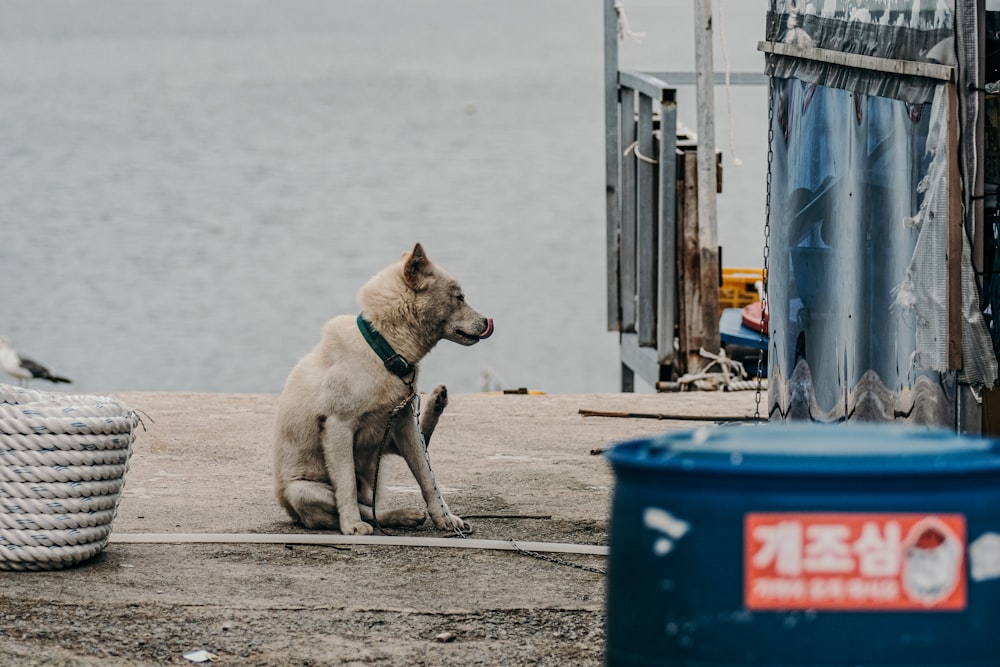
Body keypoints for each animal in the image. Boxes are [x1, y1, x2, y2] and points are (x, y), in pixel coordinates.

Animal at [274, 243, 492, 536]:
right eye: (459, 298)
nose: (486, 322)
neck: (385, 350)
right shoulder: (338, 426)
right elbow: (345, 485)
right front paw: (352, 525)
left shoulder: (406, 425)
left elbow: (428, 478)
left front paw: (445, 517)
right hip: (303, 491)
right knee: (365, 509)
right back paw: (392, 517)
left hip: (386, 444)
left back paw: (436, 403)